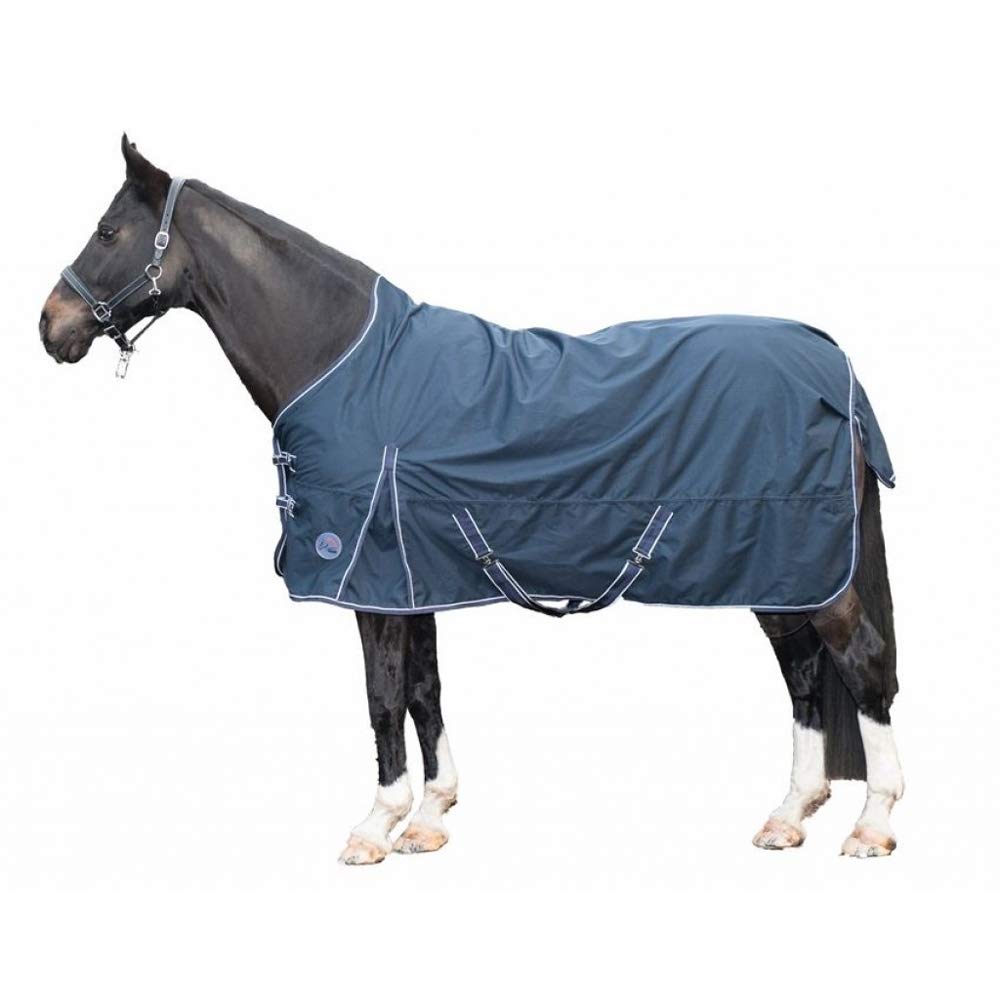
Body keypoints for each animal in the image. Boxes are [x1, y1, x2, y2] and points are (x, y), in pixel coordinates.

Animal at [38, 136, 903, 863]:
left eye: (108, 232)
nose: (51, 326)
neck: (347, 365)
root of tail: (834, 364)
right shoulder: (413, 577)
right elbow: (424, 692)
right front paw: (429, 816)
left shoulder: (370, 581)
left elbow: (382, 698)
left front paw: (374, 826)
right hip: (777, 569)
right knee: (802, 672)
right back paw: (789, 814)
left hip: (803, 568)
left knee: (861, 663)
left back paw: (871, 825)